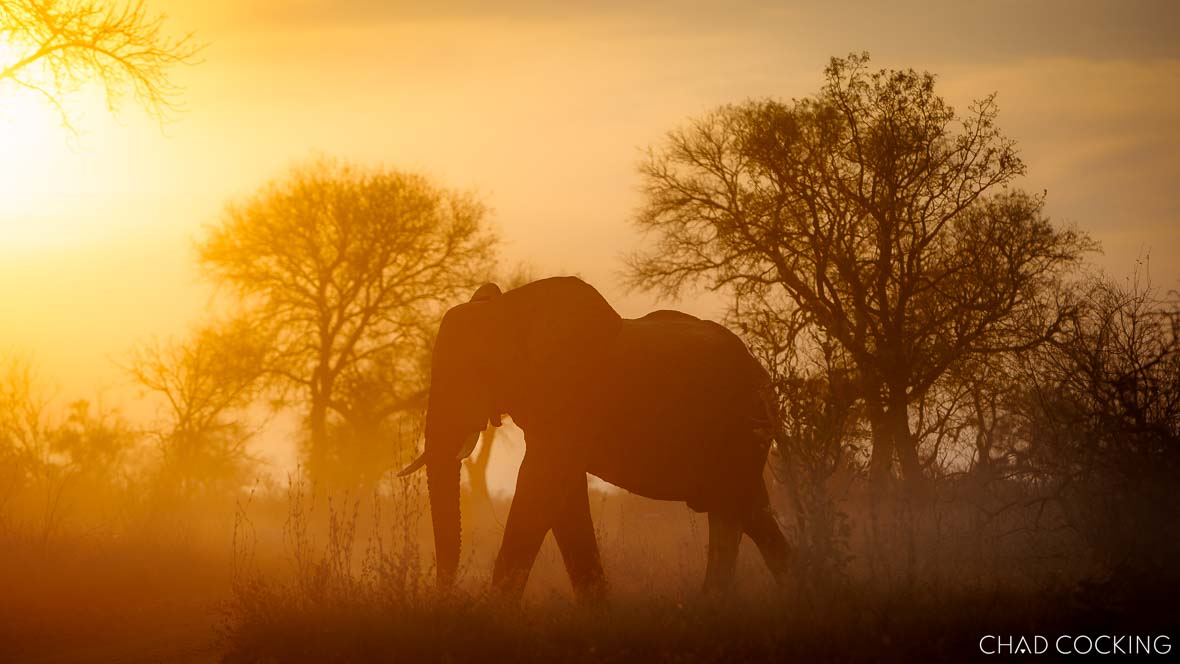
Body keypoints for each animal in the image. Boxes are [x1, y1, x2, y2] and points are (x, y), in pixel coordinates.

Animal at [399, 276, 790, 600]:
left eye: (478, 369)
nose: (444, 595)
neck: (511, 308)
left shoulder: (570, 394)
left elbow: (539, 486)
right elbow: (563, 497)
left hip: (743, 427)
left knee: (733, 510)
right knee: (753, 512)